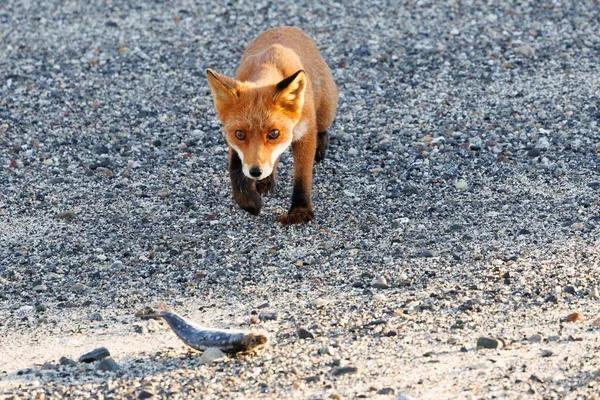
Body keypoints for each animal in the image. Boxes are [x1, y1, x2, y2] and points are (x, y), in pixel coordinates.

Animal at [206, 26, 338, 223]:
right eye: (240, 134)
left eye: (274, 133)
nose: (255, 172)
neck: (267, 66)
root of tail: (286, 27)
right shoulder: (234, 143)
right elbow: (235, 170)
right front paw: (249, 202)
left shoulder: (305, 133)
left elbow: (303, 175)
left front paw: (300, 210)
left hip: (325, 114)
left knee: (322, 130)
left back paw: (320, 148)